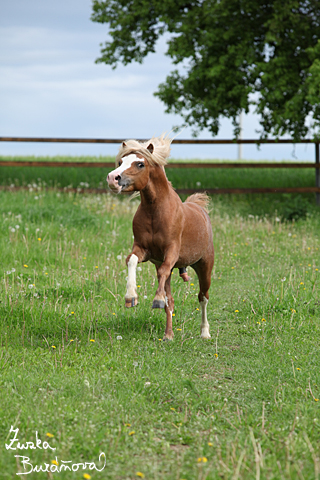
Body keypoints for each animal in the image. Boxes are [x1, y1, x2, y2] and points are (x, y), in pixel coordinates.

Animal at [106, 133, 214, 340]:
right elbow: (131, 260)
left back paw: (205, 332)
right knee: (170, 300)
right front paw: (131, 297)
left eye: (140, 164)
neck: (155, 212)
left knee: (203, 297)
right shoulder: (144, 250)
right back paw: (168, 335)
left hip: (205, 265)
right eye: (121, 161)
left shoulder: (171, 251)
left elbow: (164, 273)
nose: (112, 179)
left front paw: (156, 299)